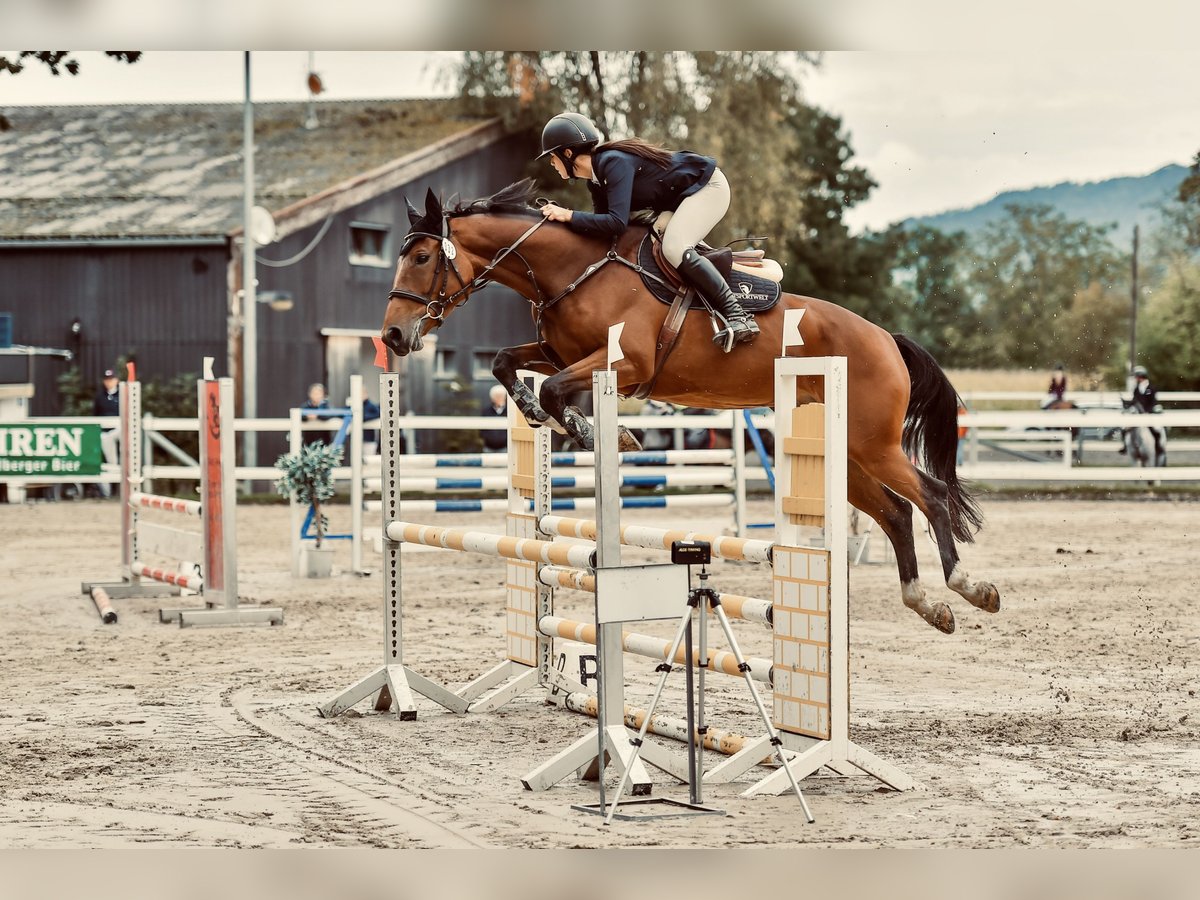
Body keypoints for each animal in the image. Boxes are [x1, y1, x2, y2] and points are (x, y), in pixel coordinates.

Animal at [384, 181, 1003, 633]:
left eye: (422, 256)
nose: (391, 335)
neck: (570, 270)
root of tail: (885, 338)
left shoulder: (624, 362)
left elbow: (559, 390)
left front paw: (603, 434)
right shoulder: (560, 352)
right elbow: (505, 363)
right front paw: (535, 411)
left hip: (872, 443)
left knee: (932, 495)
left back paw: (970, 588)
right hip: (844, 453)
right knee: (897, 512)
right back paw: (927, 603)